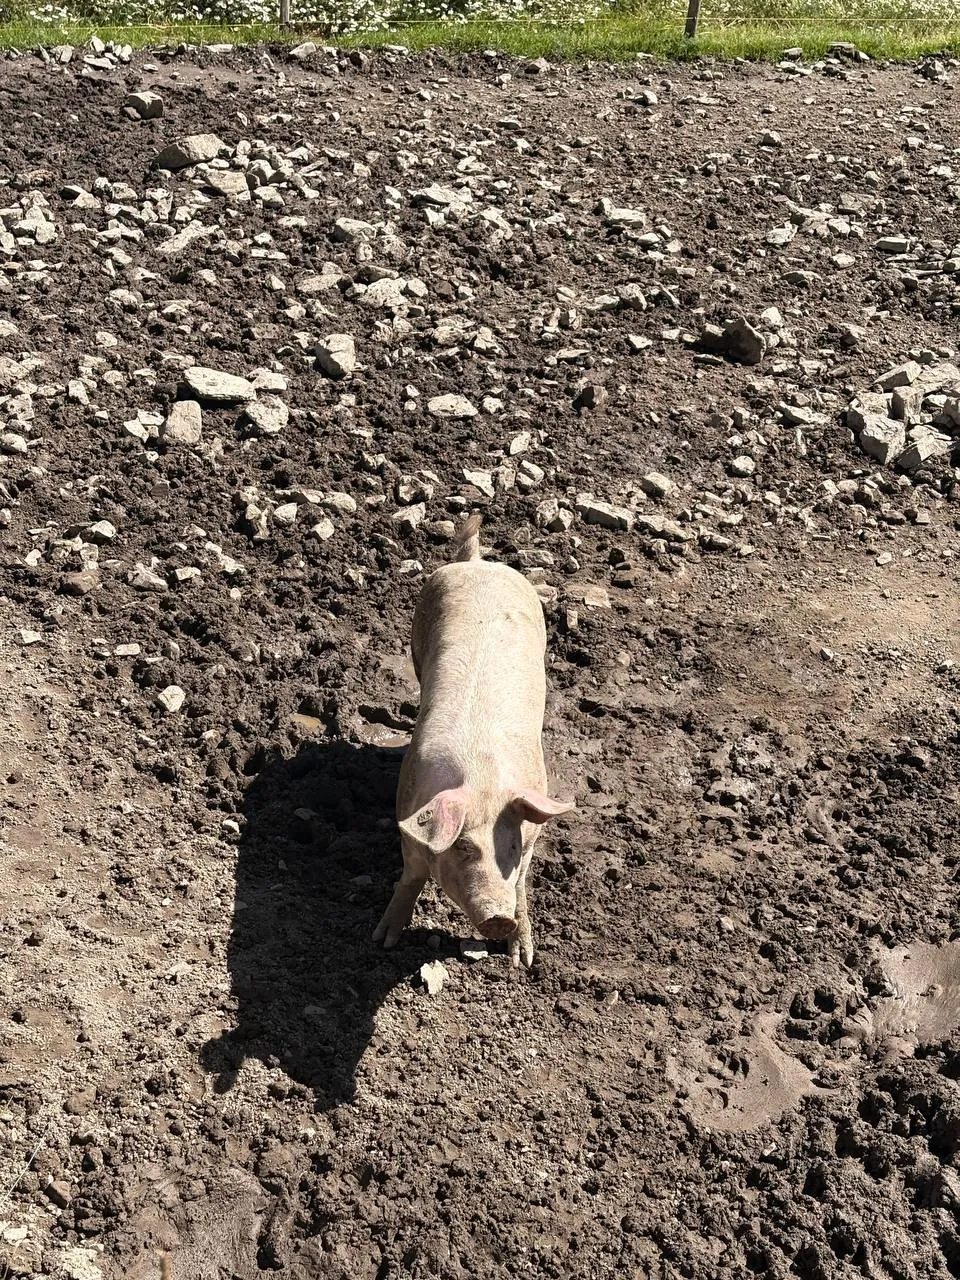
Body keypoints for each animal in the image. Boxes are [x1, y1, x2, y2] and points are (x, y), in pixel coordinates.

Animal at [373, 513, 575, 967]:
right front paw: (381, 942)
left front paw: (523, 960)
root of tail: (477, 562)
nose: (498, 919)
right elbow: (410, 877)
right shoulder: (407, 816)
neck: (483, 778)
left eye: (511, 848)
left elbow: (522, 886)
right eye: (464, 848)